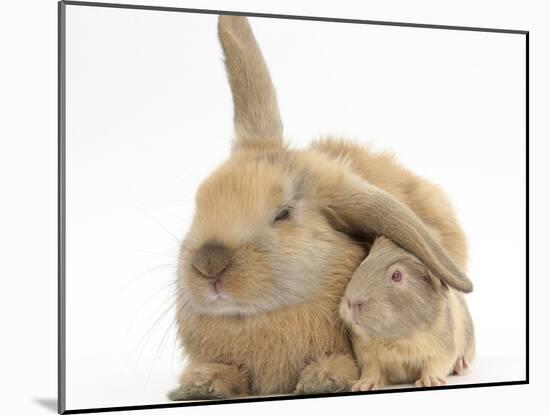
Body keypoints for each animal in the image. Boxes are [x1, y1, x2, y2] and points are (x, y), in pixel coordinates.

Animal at [338, 236, 476, 392]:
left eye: (396, 276)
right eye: (362, 263)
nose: (352, 302)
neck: (397, 340)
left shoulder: (442, 350)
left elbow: (434, 366)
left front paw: (429, 382)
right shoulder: (368, 357)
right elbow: (372, 370)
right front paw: (362, 386)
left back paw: (461, 366)